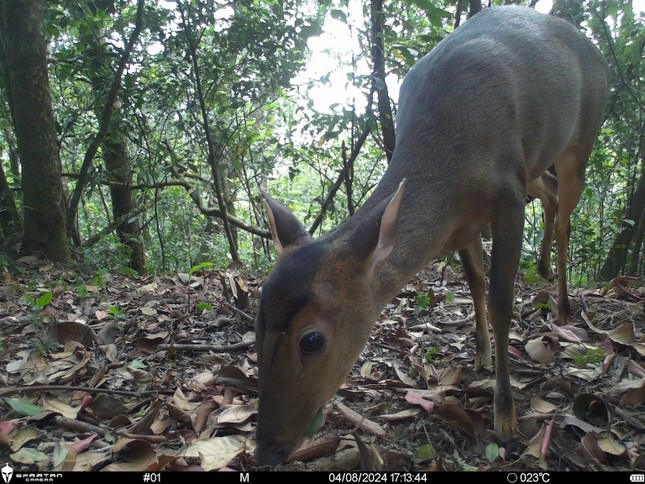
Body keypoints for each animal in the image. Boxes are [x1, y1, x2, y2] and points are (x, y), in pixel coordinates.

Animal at [253, 3, 608, 466]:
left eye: (311, 340)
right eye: (256, 321)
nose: (265, 450)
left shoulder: (508, 195)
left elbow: (500, 300)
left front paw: (506, 422)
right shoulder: (463, 223)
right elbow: (475, 283)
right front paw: (480, 354)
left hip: (582, 136)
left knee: (565, 212)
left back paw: (563, 305)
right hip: (536, 162)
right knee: (548, 193)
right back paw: (545, 269)